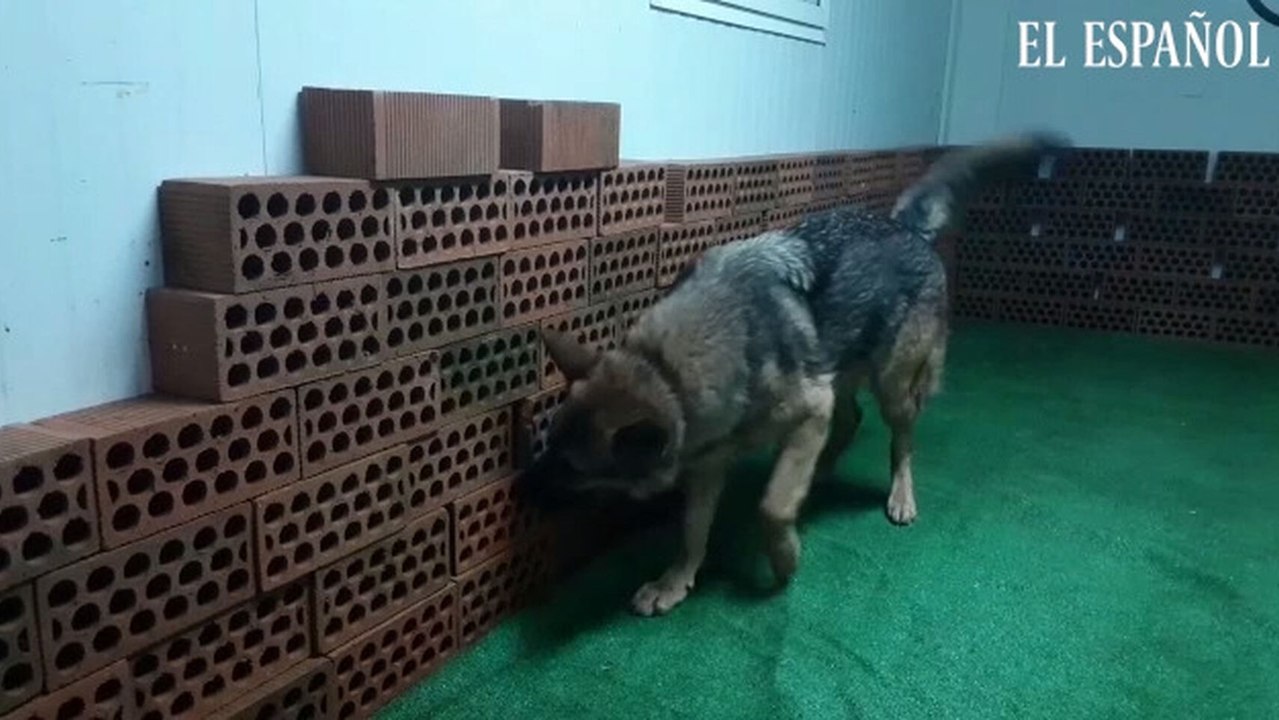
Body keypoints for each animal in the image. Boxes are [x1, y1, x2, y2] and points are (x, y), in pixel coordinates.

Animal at [519, 134, 1067, 616]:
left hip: (891, 386)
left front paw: (784, 558)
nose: (522, 492)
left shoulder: (806, 411)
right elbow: (693, 530)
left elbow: (772, 506)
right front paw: (676, 581)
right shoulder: (708, 461)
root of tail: (906, 228)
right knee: (849, 421)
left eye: (573, 468)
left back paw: (898, 494)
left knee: (899, 441)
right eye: (550, 447)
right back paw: (820, 472)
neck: (666, 368)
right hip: (839, 376)